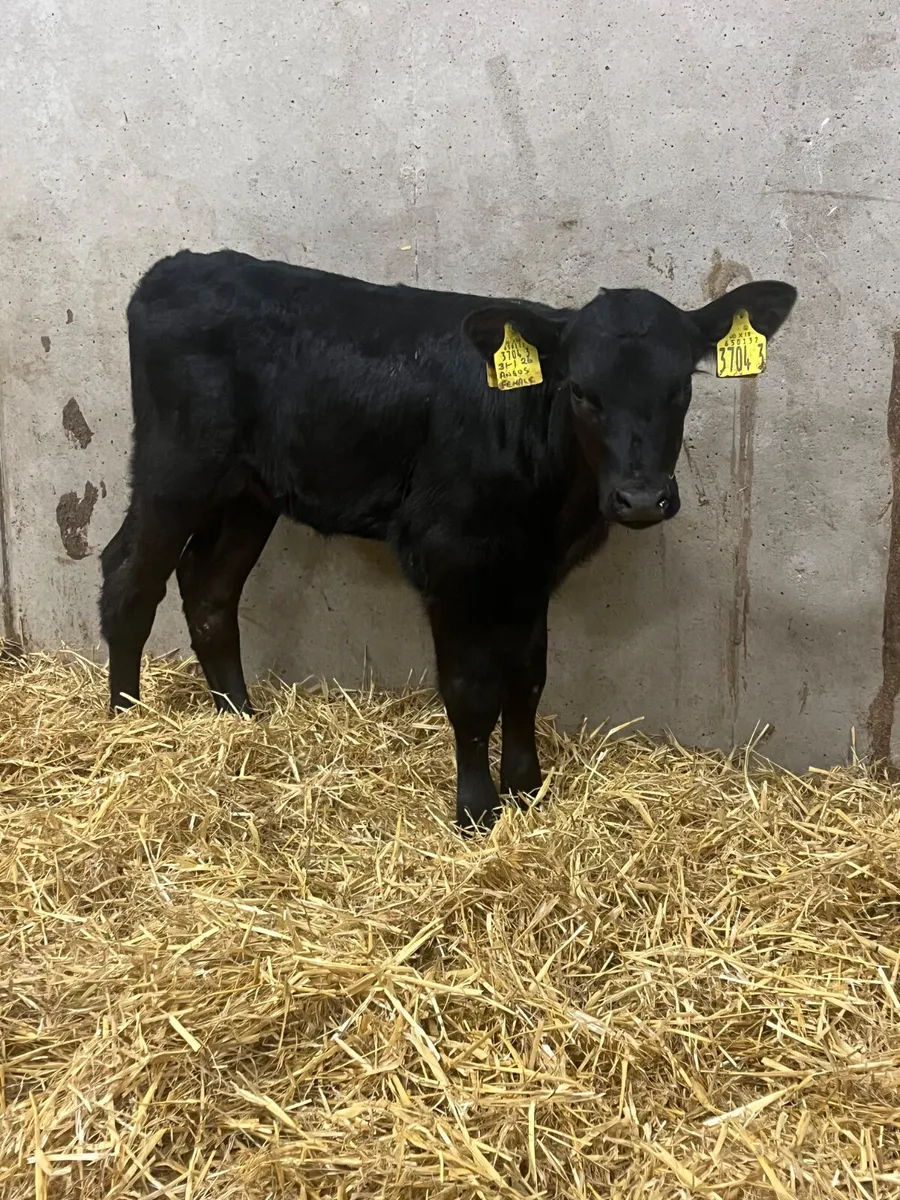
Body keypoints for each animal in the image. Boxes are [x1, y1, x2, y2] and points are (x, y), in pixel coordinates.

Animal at [99, 250, 796, 830]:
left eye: (680, 388)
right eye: (581, 391)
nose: (643, 498)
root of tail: (176, 266)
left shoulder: (529, 570)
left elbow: (528, 680)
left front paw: (527, 789)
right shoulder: (449, 559)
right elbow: (472, 691)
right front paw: (477, 811)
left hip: (251, 491)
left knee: (210, 590)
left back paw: (240, 717)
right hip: (175, 466)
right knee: (128, 574)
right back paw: (125, 723)